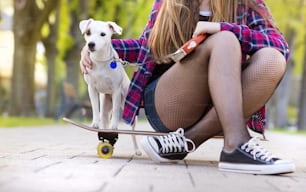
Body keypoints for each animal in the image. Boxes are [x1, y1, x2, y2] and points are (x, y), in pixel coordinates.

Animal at [79, 18, 141, 154]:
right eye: (88, 32)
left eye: (103, 34)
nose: (90, 44)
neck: (100, 60)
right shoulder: (91, 88)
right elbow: (95, 108)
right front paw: (95, 123)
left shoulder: (116, 91)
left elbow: (116, 111)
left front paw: (115, 126)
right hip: (106, 107)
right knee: (104, 119)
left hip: (129, 110)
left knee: (133, 132)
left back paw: (137, 149)